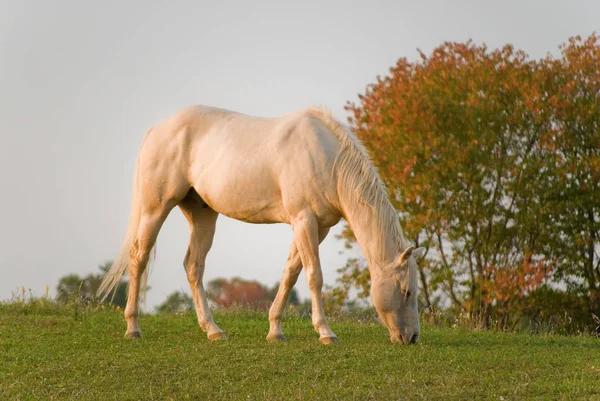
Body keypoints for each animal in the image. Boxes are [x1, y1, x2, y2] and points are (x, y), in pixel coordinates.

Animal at [98, 104, 424, 342]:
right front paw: (325, 332)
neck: (328, 159)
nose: (412, 338)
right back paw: (133, 328)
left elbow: (291, 273)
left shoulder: (316, 227)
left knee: (193, 266)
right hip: (155, 209)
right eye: (406, 291)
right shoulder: (304, 220)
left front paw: (275, 330)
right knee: (138, 258)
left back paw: (213, 330)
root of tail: (157, 129)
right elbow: (314, 276)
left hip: (202, 215)